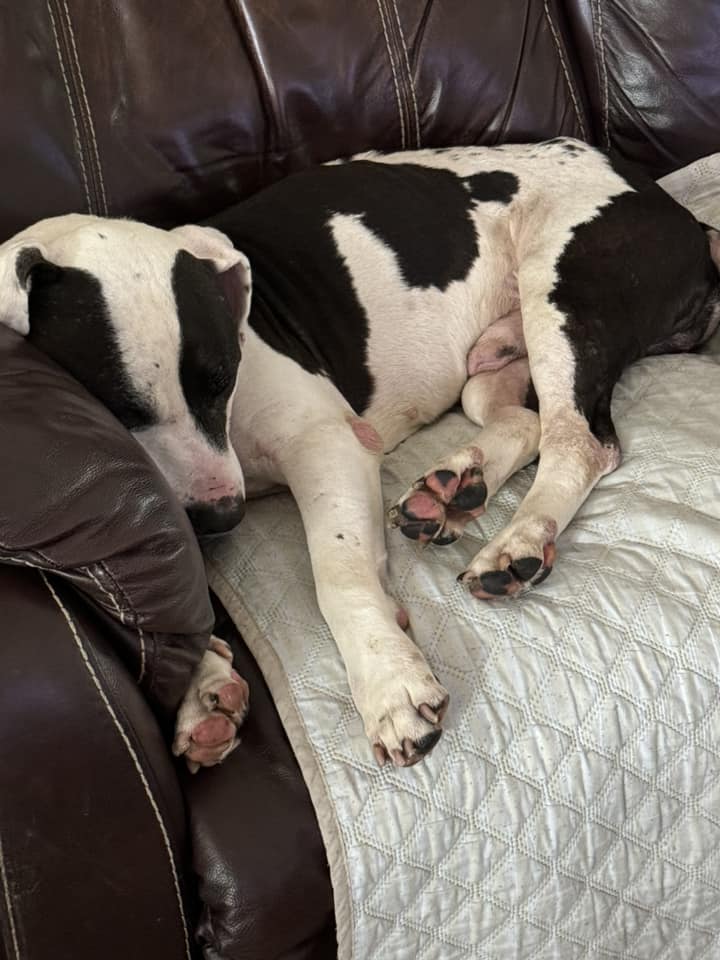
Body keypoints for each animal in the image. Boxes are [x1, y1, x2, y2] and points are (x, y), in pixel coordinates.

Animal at [2, 141, 716, 772]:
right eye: (118, 408)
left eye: (222, 378)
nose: (222, 519)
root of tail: (675, 210)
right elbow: (171, 590)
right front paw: (201, 686)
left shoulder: (325, 445)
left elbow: (339, 574)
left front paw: (387, 683)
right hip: (491, 360)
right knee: (524, 420)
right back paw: (452, 487)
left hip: (563, 301)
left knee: (577, 440)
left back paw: (514, 543)